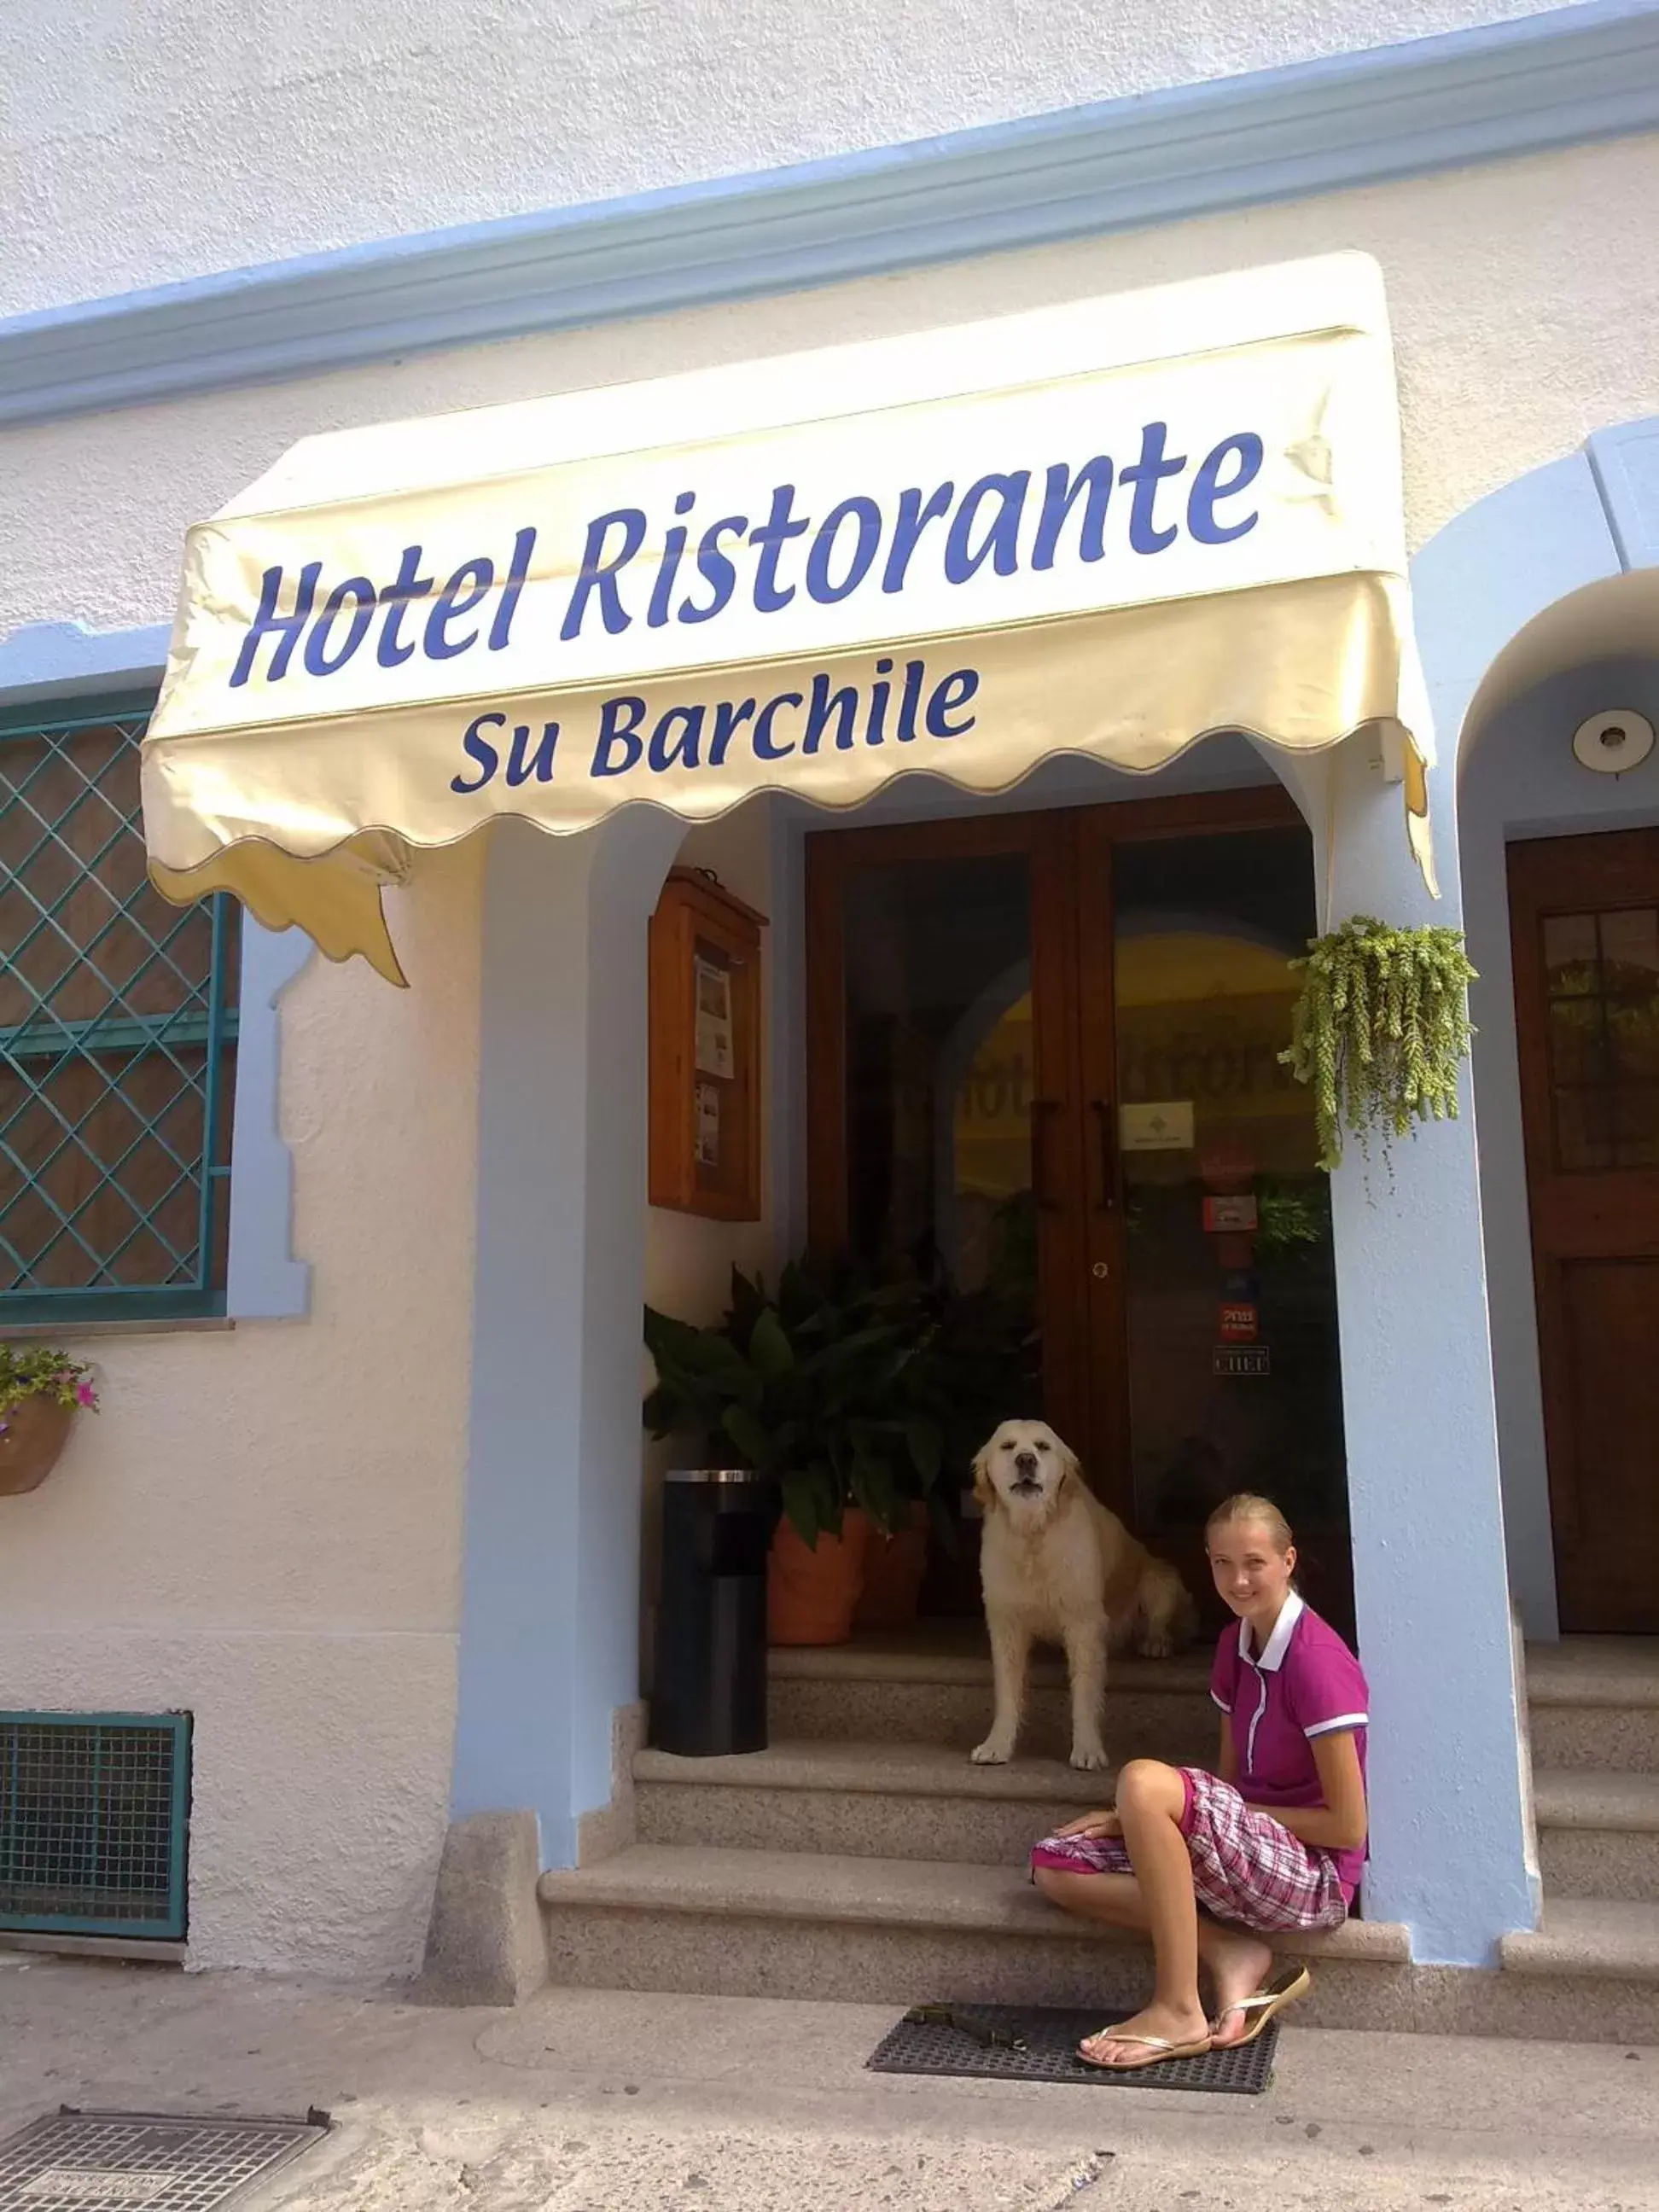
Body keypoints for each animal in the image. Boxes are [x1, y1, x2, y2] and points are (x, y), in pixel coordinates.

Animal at [973, 1424, 1194, 1769]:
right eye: (1007, 1446)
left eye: (1042, 1446)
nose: (1026, 1460)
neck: (1033, 1535)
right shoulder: (1006, 1623)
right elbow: (1007, 1693)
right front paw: (996, 1745)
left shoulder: (1083, 1624)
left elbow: (1085, 1694)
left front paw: (1088, 1749)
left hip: (1160, 1578)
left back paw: (1156, 1642)